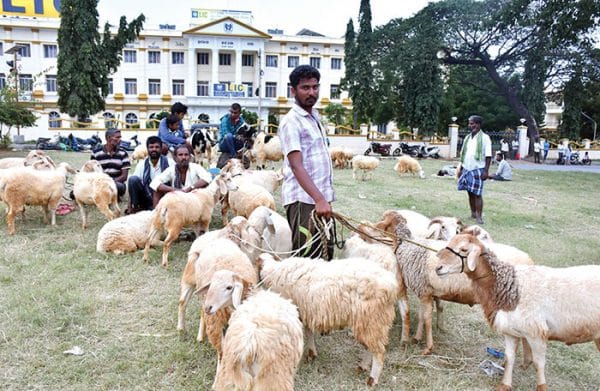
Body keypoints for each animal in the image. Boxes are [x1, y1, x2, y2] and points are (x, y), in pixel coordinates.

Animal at [256, 253, 398, 388]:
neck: (272, 271)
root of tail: (391, 285)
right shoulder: (306, 311)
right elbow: (309, 331)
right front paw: (312, 353)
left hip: (372, 319)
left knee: (378, 352)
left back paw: (372, 380)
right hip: (371, 323)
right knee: (370, 348)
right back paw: (362, 367)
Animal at [436, 233, 600, 391]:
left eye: (464, 249)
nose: (438, 268)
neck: (508, 287)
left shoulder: (536, 332)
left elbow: (538, 363)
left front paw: (541, 387)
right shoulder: (510, 332)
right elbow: (509, 358)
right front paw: (504, 385)